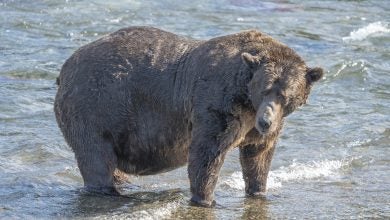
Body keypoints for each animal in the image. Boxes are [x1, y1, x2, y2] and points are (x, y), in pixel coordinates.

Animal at [54, 26, 322, 207]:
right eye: (265, 88)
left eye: (285, 95)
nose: (266, 121)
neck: (246, 99)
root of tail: (65, 68)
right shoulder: (217, 104)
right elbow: (207, 153)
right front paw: (206, 199)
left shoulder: (254, 125)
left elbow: (258, 155)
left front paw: (259, 191)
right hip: (96, 106)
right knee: (96, 156)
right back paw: (109, 192)